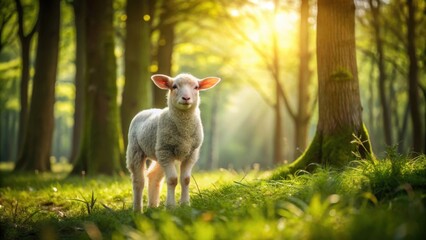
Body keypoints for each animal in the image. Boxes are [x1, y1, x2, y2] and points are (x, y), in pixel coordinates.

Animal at [125, 73, 220, 212]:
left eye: (196, 87)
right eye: (174, 86)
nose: (186, 98)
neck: (184, 130)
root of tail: (147, 110)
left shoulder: (191, 153)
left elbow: (185, 179)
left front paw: (185, 204)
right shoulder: (166, 151)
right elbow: (172, 180)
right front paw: (170, 206)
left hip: (159, 153)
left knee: (153, 176)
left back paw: (153, 206)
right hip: (136, 150)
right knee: (138, 181)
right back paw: (137, 210)